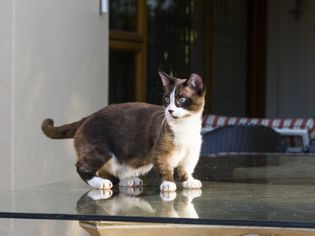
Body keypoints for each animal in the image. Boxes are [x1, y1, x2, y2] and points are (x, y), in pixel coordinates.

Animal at [40, 70, 206, 192]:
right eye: (166, 100)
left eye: (181, 100)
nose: (170, 110)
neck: (185, 126)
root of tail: (87, 117)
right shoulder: (160, 152)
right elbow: (165, 168)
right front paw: (168, 184)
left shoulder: (192, 153)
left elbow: (186, 169)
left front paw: (189, 182)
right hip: (100, 150)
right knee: (83, 167)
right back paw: (100, 183)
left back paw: (129, 180)